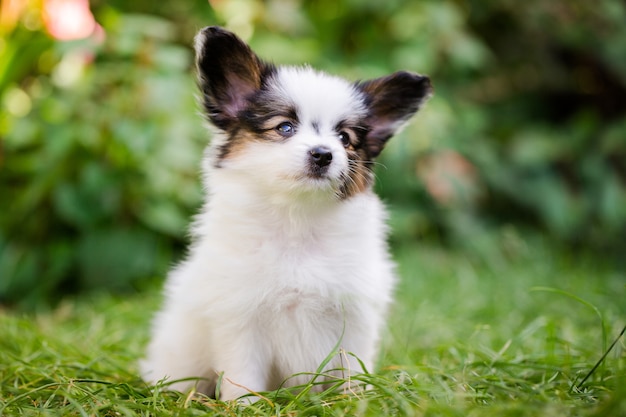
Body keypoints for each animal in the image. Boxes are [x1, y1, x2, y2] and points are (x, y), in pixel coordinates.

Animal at [140, 26, 428, 400]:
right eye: (285, 128)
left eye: (344, 138)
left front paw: (355, 399)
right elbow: (242, 374)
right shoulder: (240, 317)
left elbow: (352, 367)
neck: (297, 219)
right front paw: (243, 404)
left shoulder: (354, 314)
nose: (323, 154)